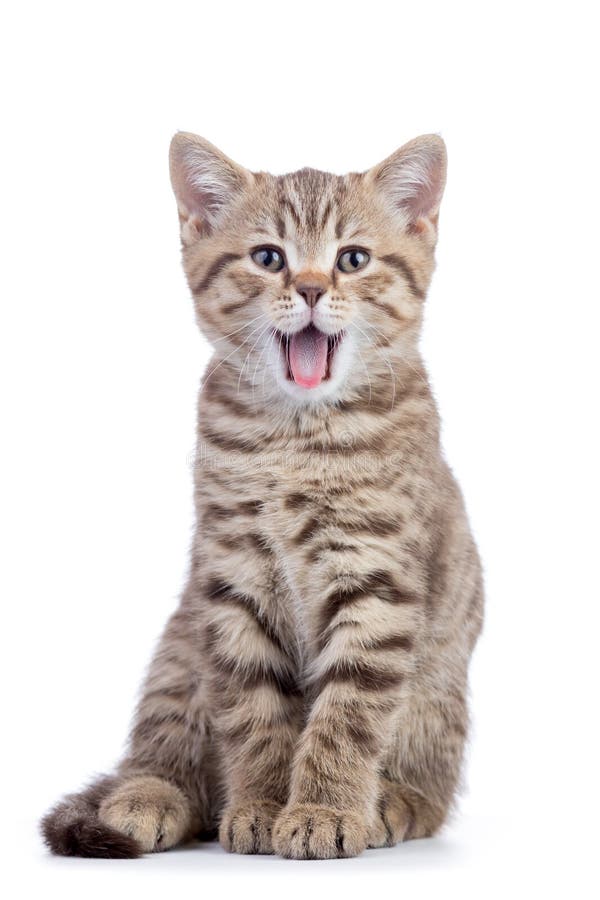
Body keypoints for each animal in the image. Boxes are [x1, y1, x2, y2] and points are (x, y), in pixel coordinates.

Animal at [41, 132, 482, 856]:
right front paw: (262, 804)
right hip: (179, 653)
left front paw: (325, 808)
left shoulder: (376, 579)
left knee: (432, 787)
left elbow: (347, 712)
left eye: (353, 259)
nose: (309, 287)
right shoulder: (233, 575)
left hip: (437, 700)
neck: (294, 435)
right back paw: (147, 794)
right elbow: (253, 707)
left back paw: (392, 802)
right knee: (167, 744)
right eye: (268, 257)